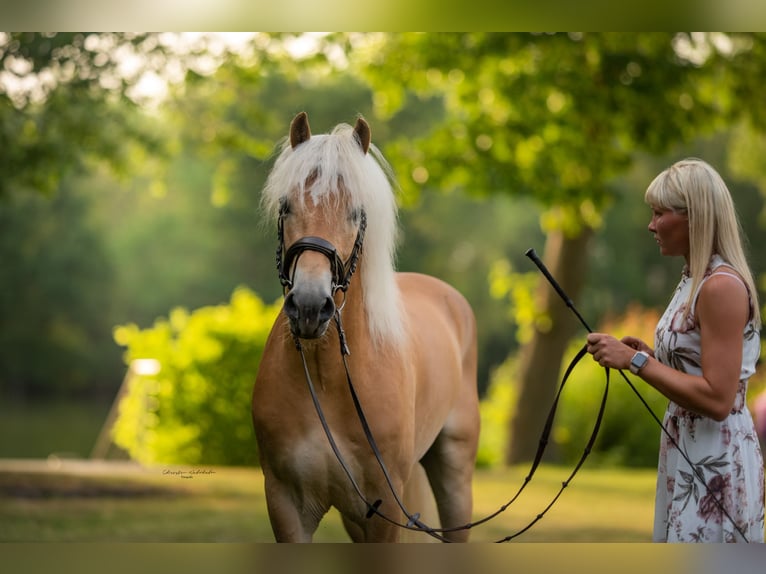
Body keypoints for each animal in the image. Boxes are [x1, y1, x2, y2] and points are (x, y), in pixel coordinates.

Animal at [252, 112, 480, 544]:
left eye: (356, 214)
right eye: (286, 207)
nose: (310, 307)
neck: (328, 380)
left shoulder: (385, 509)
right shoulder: (285, 504)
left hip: (454, 477)